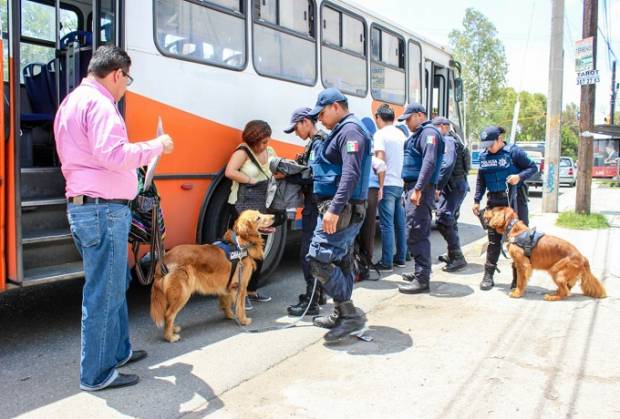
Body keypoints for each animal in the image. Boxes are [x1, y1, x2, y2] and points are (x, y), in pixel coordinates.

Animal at [150, 210, 274, 342]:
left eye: (260, 213)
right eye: (258, 218)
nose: (274, 216)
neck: (240, 243)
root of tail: (163, 261)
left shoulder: (228, 285)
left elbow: (226, 303)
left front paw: (231, 316)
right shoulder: (240, 286)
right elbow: (240, 306)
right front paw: (243, 320)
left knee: (168, 313)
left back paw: (173, 329)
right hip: (183, 293)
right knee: (169, 314)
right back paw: (170, 337)